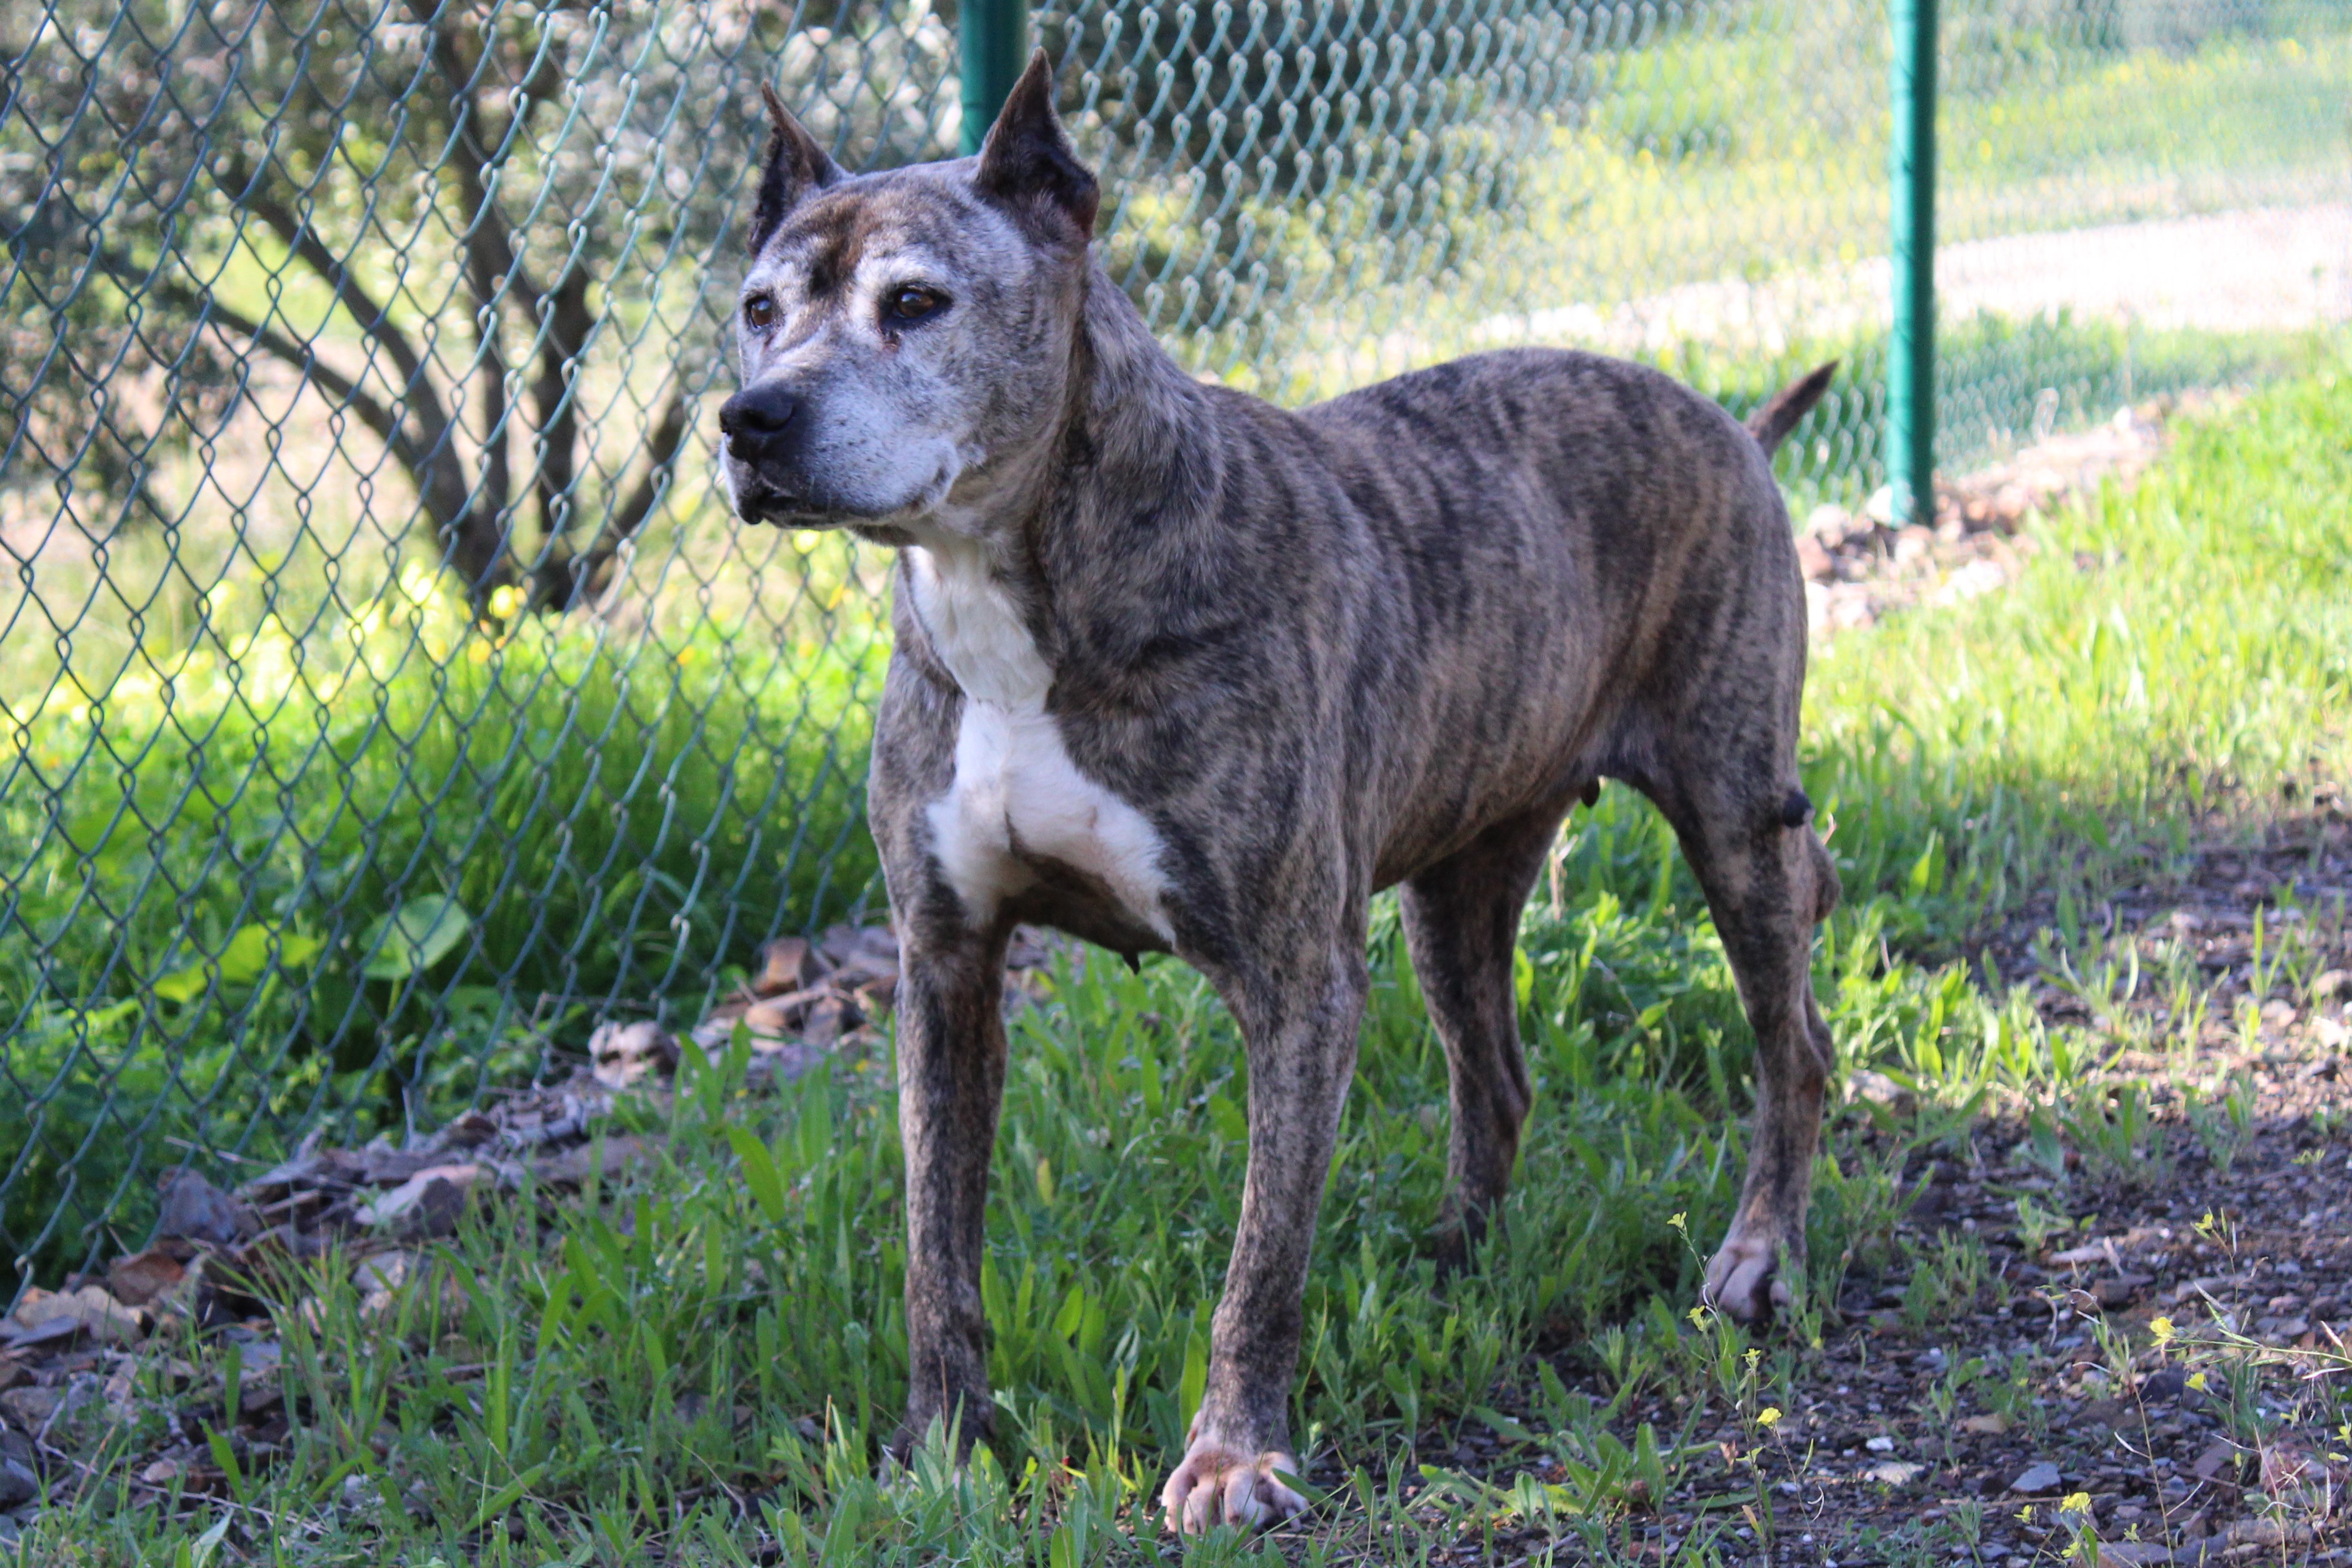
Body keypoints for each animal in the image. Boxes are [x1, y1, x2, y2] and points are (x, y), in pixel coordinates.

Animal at [710, 58, 1834, 1533]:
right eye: (758, 309)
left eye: (914, 303)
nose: (750, 420)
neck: (1023, 598)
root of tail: (1722, 418)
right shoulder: (945, 969)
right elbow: (933, 1249)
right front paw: (942, 1450)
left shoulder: (1298, 980)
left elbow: (1261, 1256)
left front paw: (1236, 1452)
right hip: (1456, 893)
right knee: (1497, 1075)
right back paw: (1457, 1263)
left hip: (1733, 818)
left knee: (1790, 1044)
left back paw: (1760, 1256)